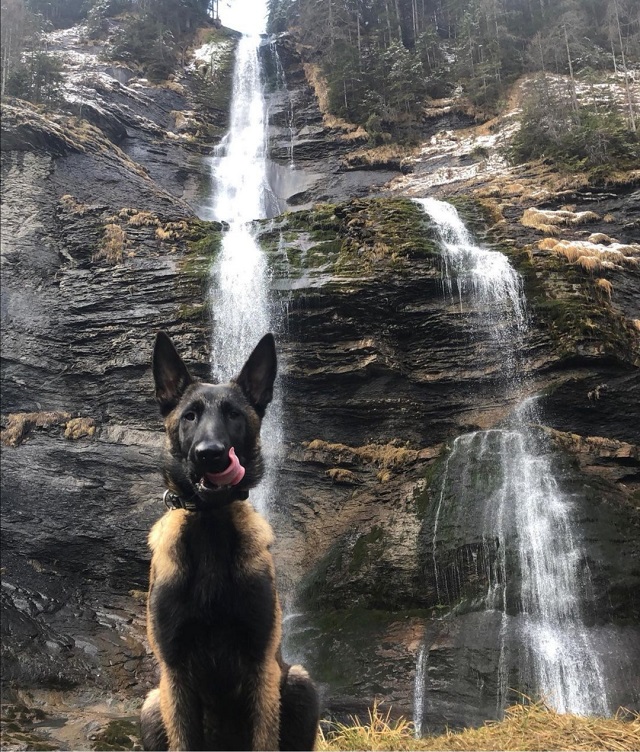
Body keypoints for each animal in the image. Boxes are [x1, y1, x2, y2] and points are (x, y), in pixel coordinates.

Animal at [141, 334, 320, 752]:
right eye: (189, 415)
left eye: (234, 415)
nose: (211, 455)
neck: (210, 524)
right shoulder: (175, 672)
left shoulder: (261, 667)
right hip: (153, 705)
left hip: (299, 682)